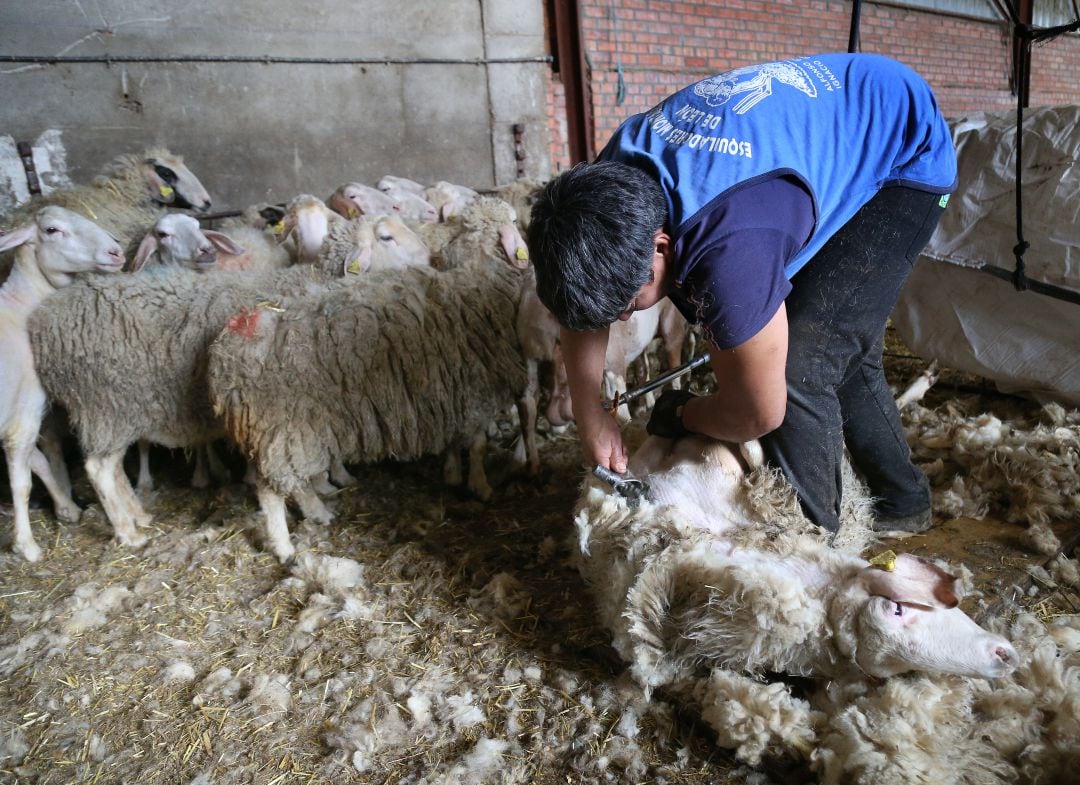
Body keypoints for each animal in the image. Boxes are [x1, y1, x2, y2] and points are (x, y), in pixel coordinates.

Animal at [0, 206, 125, 561]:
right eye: (52, 230)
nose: (116, 252)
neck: (19, 309)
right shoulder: (23, 415)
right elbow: (22, 481)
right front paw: (26, 546)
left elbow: (40, 462)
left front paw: (67, 508)